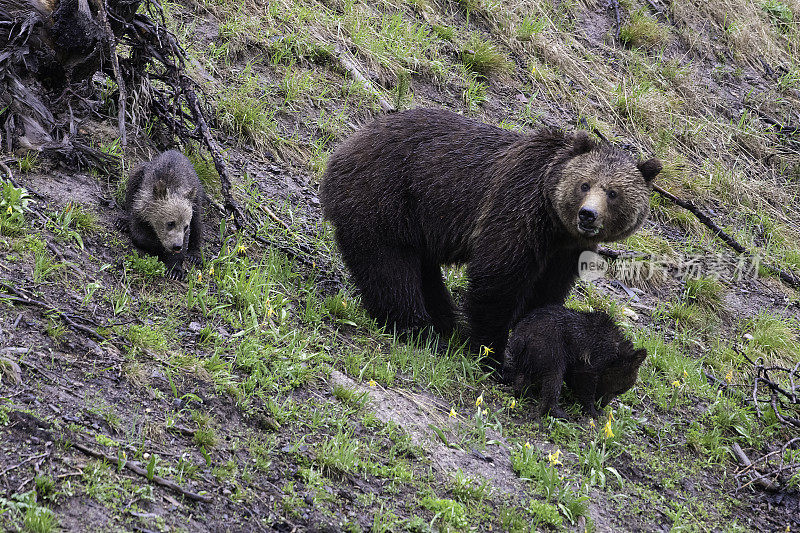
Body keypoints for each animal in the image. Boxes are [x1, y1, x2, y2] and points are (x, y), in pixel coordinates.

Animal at [318, 108, 664, 366]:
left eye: (613, 193)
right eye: (585, 184)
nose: (587, 215)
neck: (554, 223)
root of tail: (344, 146)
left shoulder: (566, 250)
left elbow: (547, 291)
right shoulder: (516, 209)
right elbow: (498, 279)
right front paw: (491, 351)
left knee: (422, 269)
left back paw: (444, 321)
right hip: (384, 195)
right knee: (389, 266)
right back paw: (416, 326)